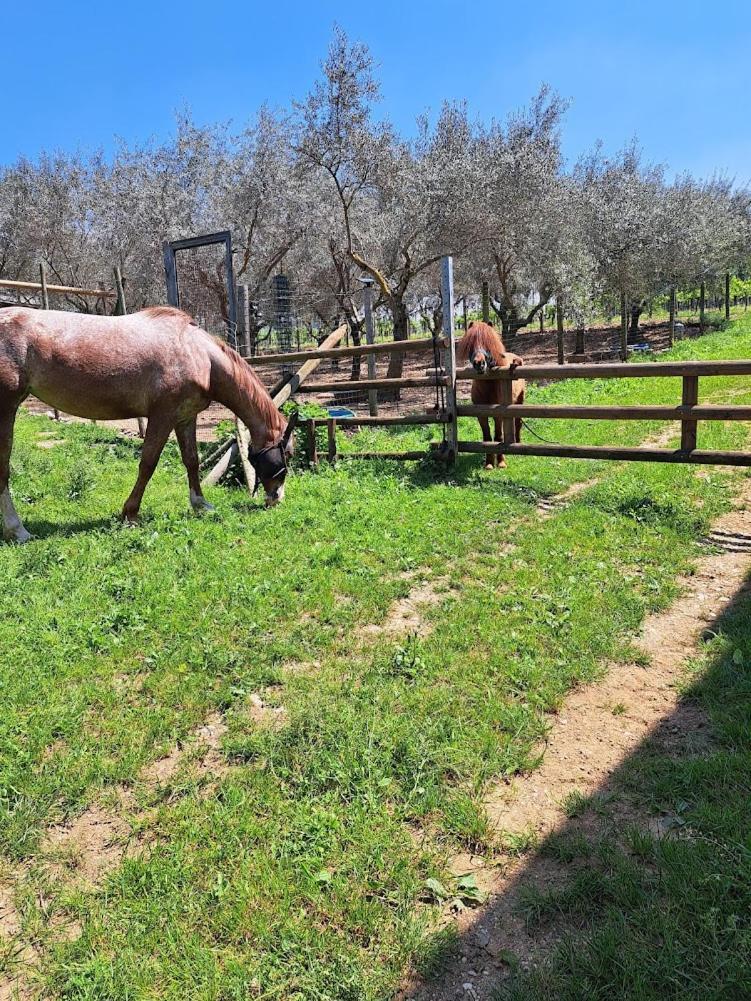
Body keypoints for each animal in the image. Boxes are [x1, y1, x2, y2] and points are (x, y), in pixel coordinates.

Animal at [0, 304, 296, 544]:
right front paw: (130, 514)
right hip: (7, 410)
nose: (276, 499)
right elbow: (148, 464)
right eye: (288, 454)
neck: (198, 353)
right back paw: (18, 531)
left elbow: (192, 461)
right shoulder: (162, 417)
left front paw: (200, 505)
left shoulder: (185, 417)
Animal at [456, 324, 524, 472]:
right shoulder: (481, 415)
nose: (479, 363)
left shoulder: (498, 413)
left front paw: (501, 462)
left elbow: (498, 436)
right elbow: (487, 438)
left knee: (518, 423)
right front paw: (489, 463)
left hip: (520, 402)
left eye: (488, 344)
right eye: (471, 345)